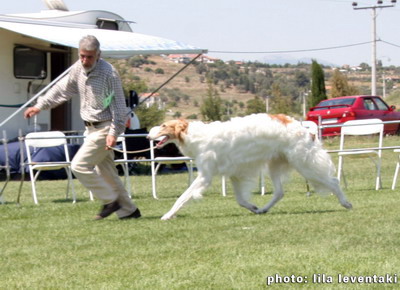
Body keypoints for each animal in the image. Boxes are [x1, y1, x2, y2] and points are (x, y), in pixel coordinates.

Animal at [148, 113, 352, 220]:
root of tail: (303, 128)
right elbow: (241, 200)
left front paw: (168, 214)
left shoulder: (205, 176)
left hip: (304, 164)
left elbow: (182, 197)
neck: (194, 135)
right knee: (279, 193)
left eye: (164, 125)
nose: (148, 136)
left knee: (333, 181)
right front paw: (253, 207)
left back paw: (346, 203)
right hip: (275, 165)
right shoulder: (234, 174)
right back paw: (263, 209)